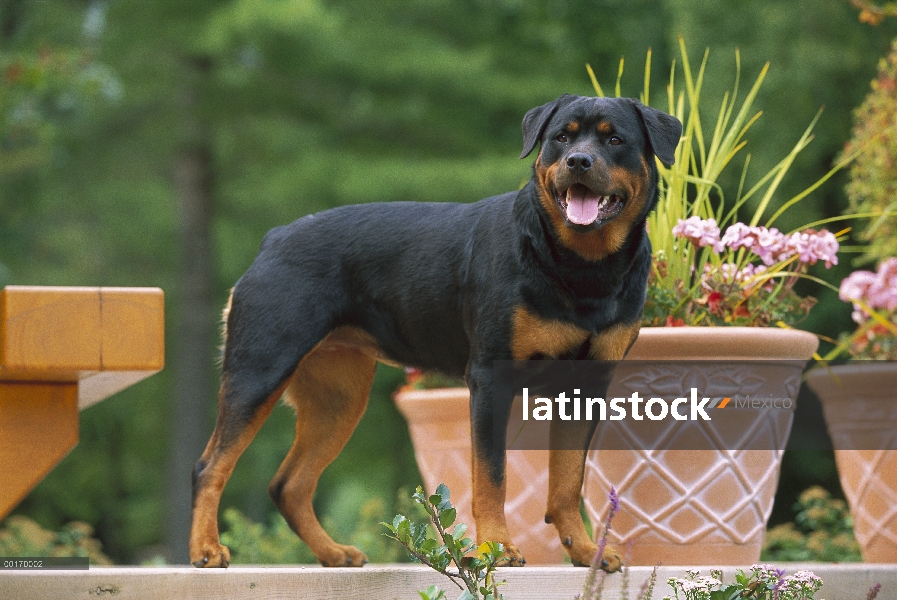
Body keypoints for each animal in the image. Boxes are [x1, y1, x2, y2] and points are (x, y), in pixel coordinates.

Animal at [189, 95, 680, 572]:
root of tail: (272, 239)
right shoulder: (490, 377)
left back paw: (333, 553)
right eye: (561, 137)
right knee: (210, 467)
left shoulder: (586, 387)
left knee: (288, 484)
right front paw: (499, 549)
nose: (578, 160)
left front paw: (584, 551)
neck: (583, 266)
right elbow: (491, 477)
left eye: (614, 139)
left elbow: (567, 480)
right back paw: (207, 551)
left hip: (338, 398)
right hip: (259, 371)